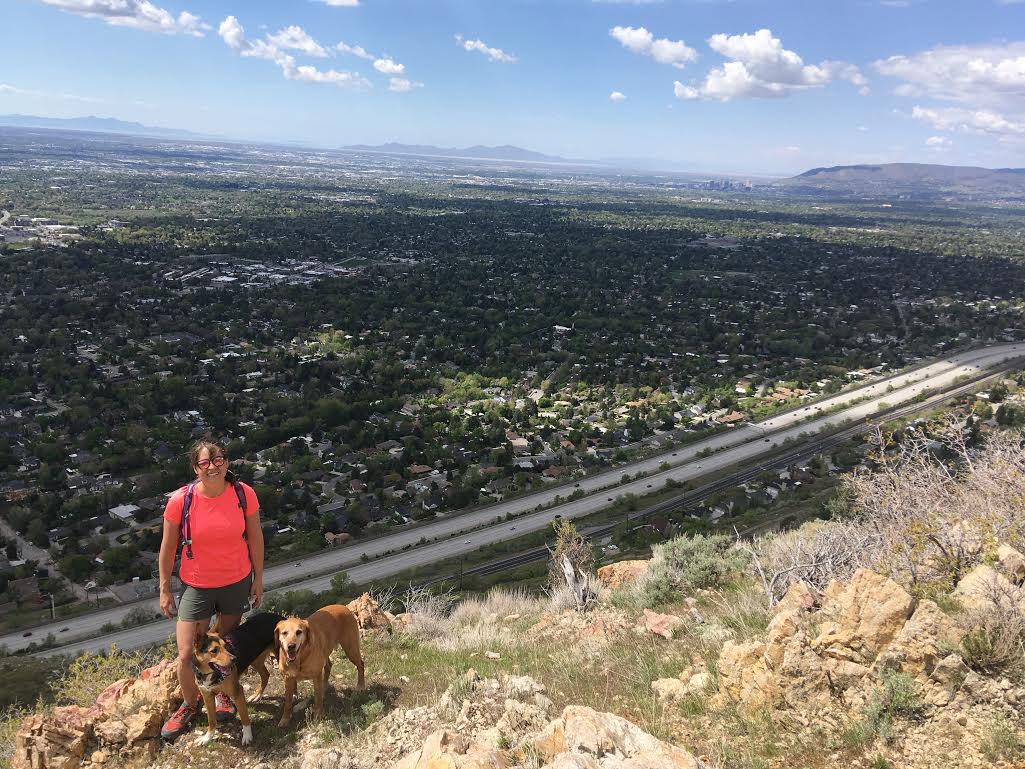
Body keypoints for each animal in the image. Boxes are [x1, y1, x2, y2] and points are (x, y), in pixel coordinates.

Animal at [189, 615, 282, 746]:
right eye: (214, 650)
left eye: (226, 646)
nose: (235, 659)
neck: (210, 674)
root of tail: (278, 617)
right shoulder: (207, 696)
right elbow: (211, 720)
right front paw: (207, 738)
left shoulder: (237, 692)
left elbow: (244, 716)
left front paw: (247, 736)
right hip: (255, 659)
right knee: (265, 675)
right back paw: (257, 695)